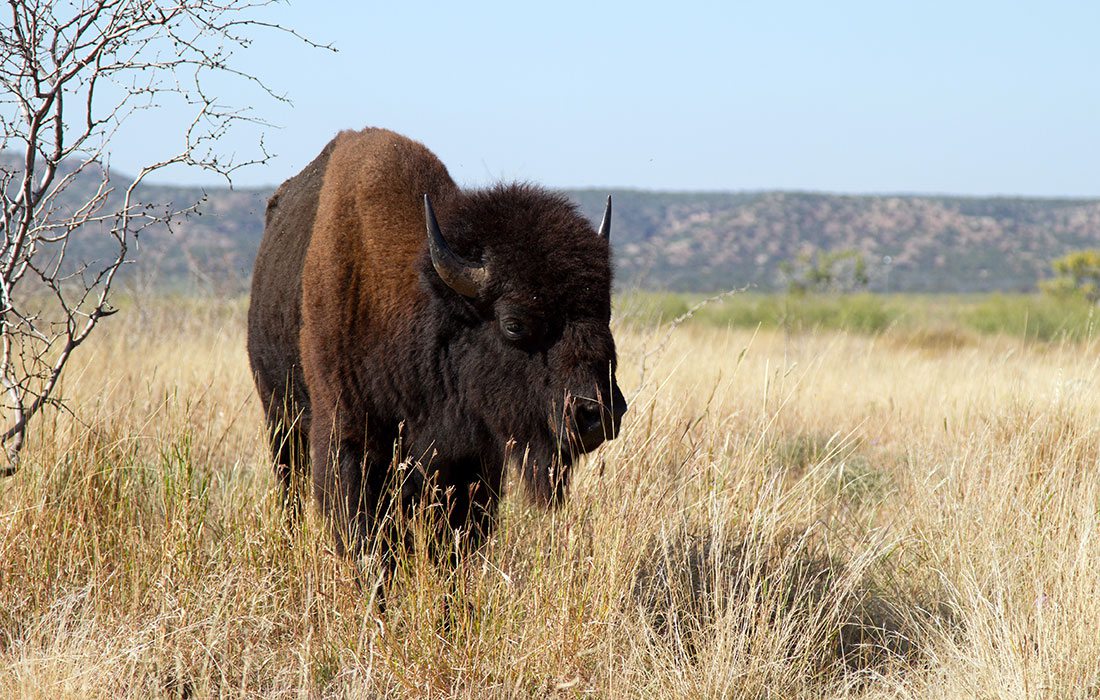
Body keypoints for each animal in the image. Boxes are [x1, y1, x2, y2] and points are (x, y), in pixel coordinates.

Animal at [249, 128, 629, 561]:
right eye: (513, 323)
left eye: (604, 311)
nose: (597, 414)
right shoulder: (348, 441)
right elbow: (366, 538)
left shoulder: (472, 461)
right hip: (279, 415)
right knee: (290, 488)